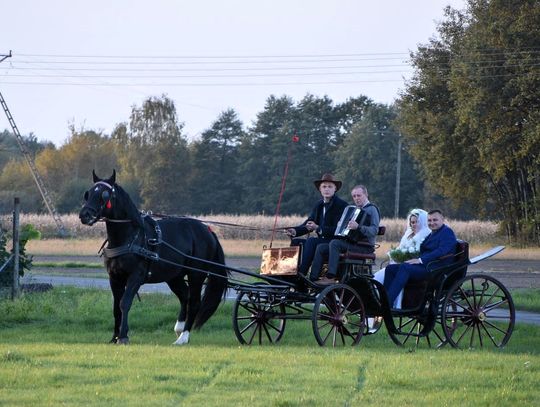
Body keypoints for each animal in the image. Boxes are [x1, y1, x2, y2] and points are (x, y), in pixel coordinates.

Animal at [78, 171, 228, 346]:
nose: (84, 215)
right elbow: (116, 307)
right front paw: (114, 337)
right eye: (88, 193)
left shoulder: (136, 276)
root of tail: (208, 230)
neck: (130, 237)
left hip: (196, 274)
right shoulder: (114, 277)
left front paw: (123, 336)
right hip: (174, 276)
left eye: (104, 194)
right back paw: (179, 328)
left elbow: (125, 303)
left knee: (194, 302)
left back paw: (183, 337)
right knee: (185, 295)